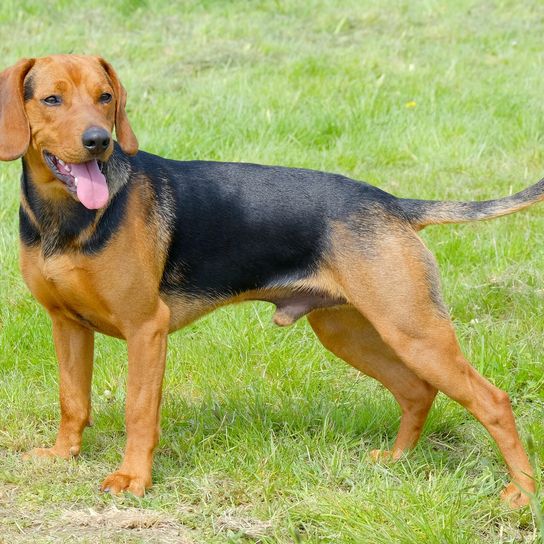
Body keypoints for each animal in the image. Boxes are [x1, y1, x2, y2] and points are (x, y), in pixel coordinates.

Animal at [2, 54, 540, 506]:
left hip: (415, 330)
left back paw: (521, 492)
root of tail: (393, 204)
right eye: (52, 99)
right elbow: (72, 399)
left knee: (493, 401)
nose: (100, 141)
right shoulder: (66, 325)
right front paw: (64, 455)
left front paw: (133, 478)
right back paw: (396, 459)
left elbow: (139, 411)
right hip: (350, 331)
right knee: (416, 391)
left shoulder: (145, 328)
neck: (65, 218)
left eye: (105, 97)